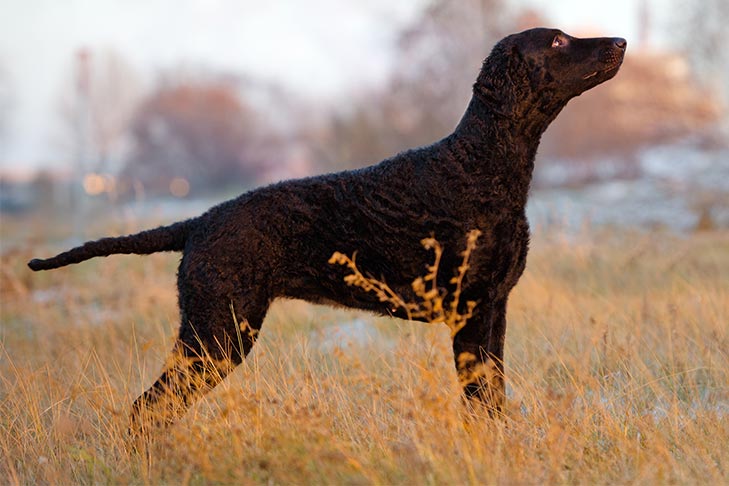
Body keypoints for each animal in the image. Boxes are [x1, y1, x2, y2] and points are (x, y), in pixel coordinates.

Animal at [27, 27, 624, 430]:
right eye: (557, 41)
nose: (619, 40)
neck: (479, 163)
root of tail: (201, 220)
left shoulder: (494, 308)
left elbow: (494, 401)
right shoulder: (470, 311)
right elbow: (482, 404)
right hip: (218, 332)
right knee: (146, 408)